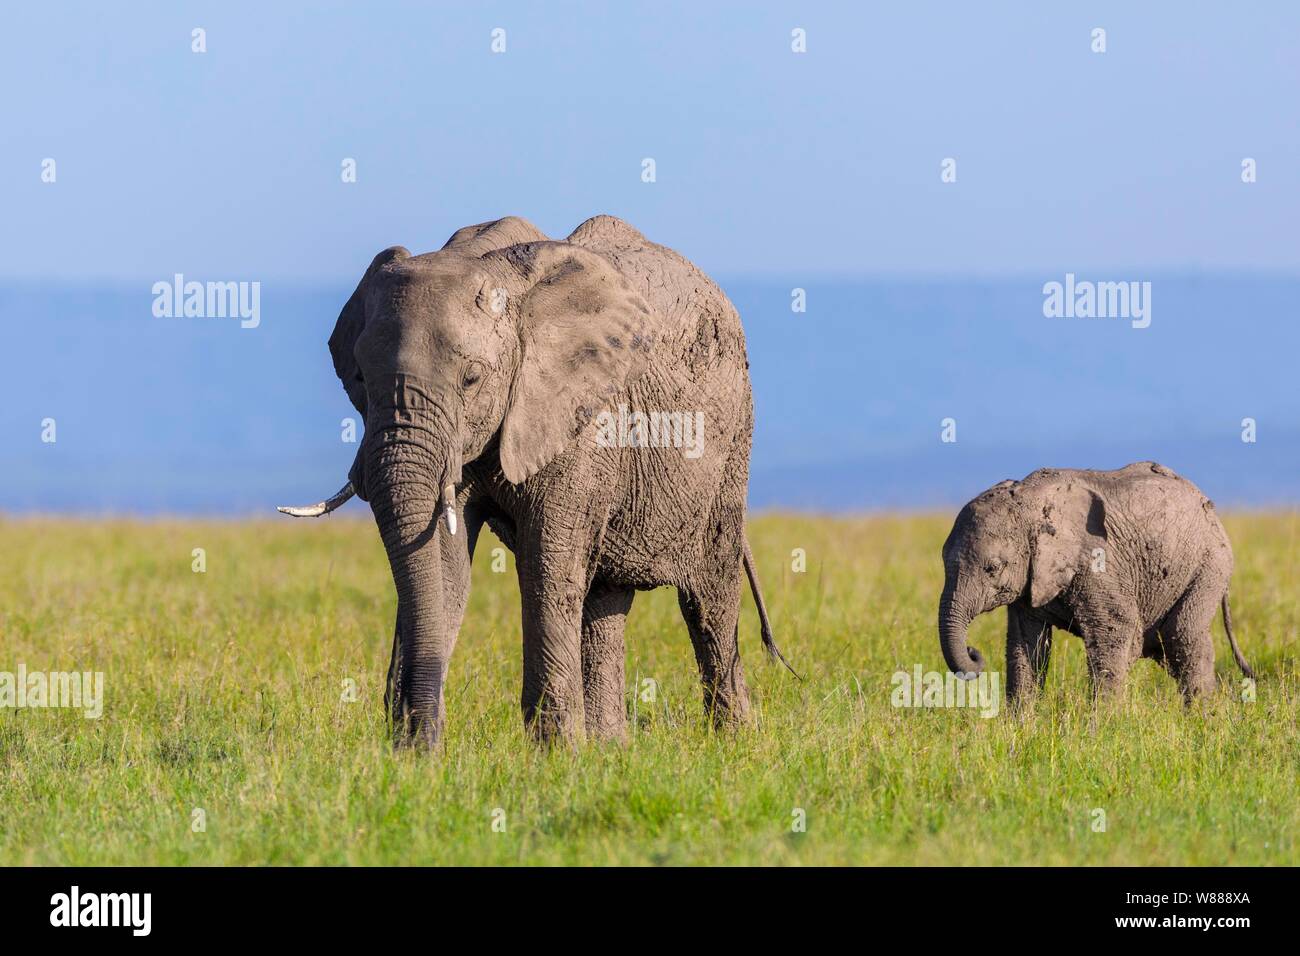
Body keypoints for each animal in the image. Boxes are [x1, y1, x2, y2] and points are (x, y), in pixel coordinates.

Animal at [279, 217, 785, 749]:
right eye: (359, 378)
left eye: (471, 378)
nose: (418, 739)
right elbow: (445, 560)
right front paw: (419, 752)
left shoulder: (581, 417)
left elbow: (547, 562)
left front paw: (556, 753)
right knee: (604, 599)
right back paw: (611, 749)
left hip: (732, 439)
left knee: (710, 593)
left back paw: (733, 740)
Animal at [941, 463, 1253, 702]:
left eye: (992, 568)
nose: (973, 651)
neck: (1031, 499)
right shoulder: (1031, 582)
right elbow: (1026, 645)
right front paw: (1019, 729)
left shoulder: (1099, 564)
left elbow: (1117, 632)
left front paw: (1100, 729)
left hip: (1209, 566)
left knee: (1183, 636)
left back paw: (1202, 717)